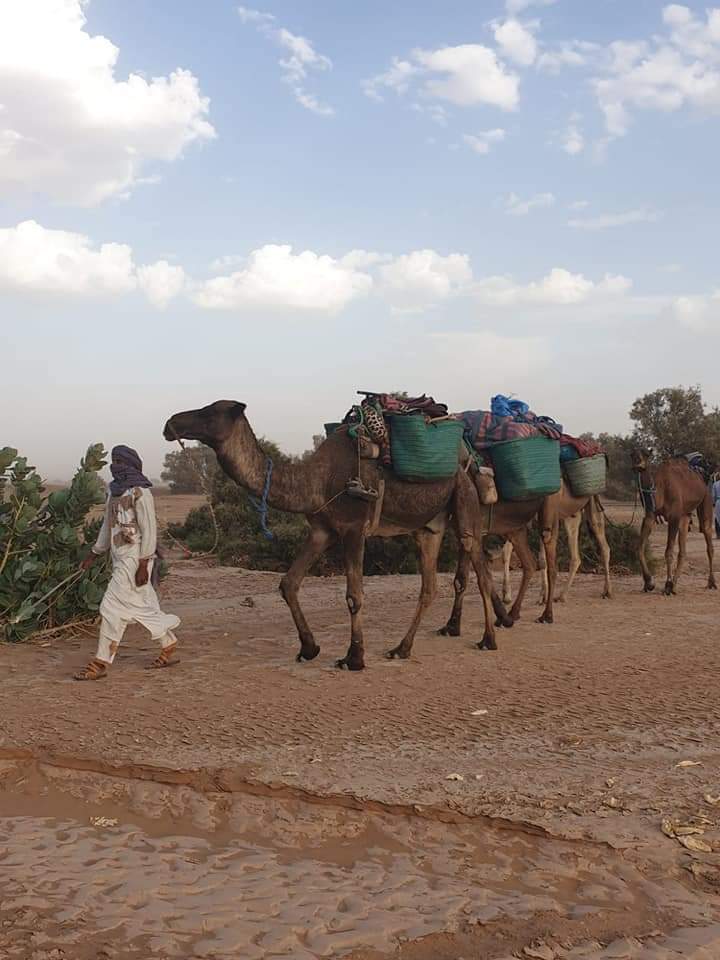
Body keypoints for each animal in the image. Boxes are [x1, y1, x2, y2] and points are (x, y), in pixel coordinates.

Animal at [163, 398, 504, 668]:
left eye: (209, 411)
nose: (170, 423)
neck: (315, 482)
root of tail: (468, 460)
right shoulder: (322, 530)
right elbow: (289, 583)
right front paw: (309, 648)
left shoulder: (354, 528)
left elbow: (354, 595)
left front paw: (354, 657)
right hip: (428, 527)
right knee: (430, 586)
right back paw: (401, 649)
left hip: (465, 502)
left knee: (481, 571)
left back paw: (488, 639)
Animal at [632, 448, 716, 596]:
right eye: (632, 455)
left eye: (646, 455)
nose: (638, 463)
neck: (659, 488)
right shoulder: (650, 515)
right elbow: (639, 547)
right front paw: (649, 582)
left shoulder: (674, 517)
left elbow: (668, 551)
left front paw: (667, 585)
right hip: (685, 515)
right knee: (683, 550)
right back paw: (675, 586)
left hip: (706, 498)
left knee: (708, 539)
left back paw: (711, 583)